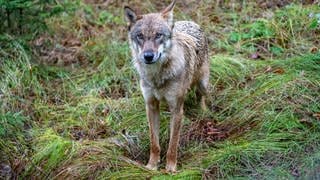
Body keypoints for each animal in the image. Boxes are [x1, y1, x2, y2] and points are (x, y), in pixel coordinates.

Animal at [124, 0, 209, 172]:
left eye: (158, 35)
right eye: (140, 36)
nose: (148, 56)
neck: (157, 77)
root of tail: (190, 22)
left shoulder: (176, 110)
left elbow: (172, 144)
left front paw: (170, 169)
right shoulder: (151, 106)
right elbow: (154, 143)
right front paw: (151, 166)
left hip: (202, 84)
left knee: (201, 96)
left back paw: (203, 111)